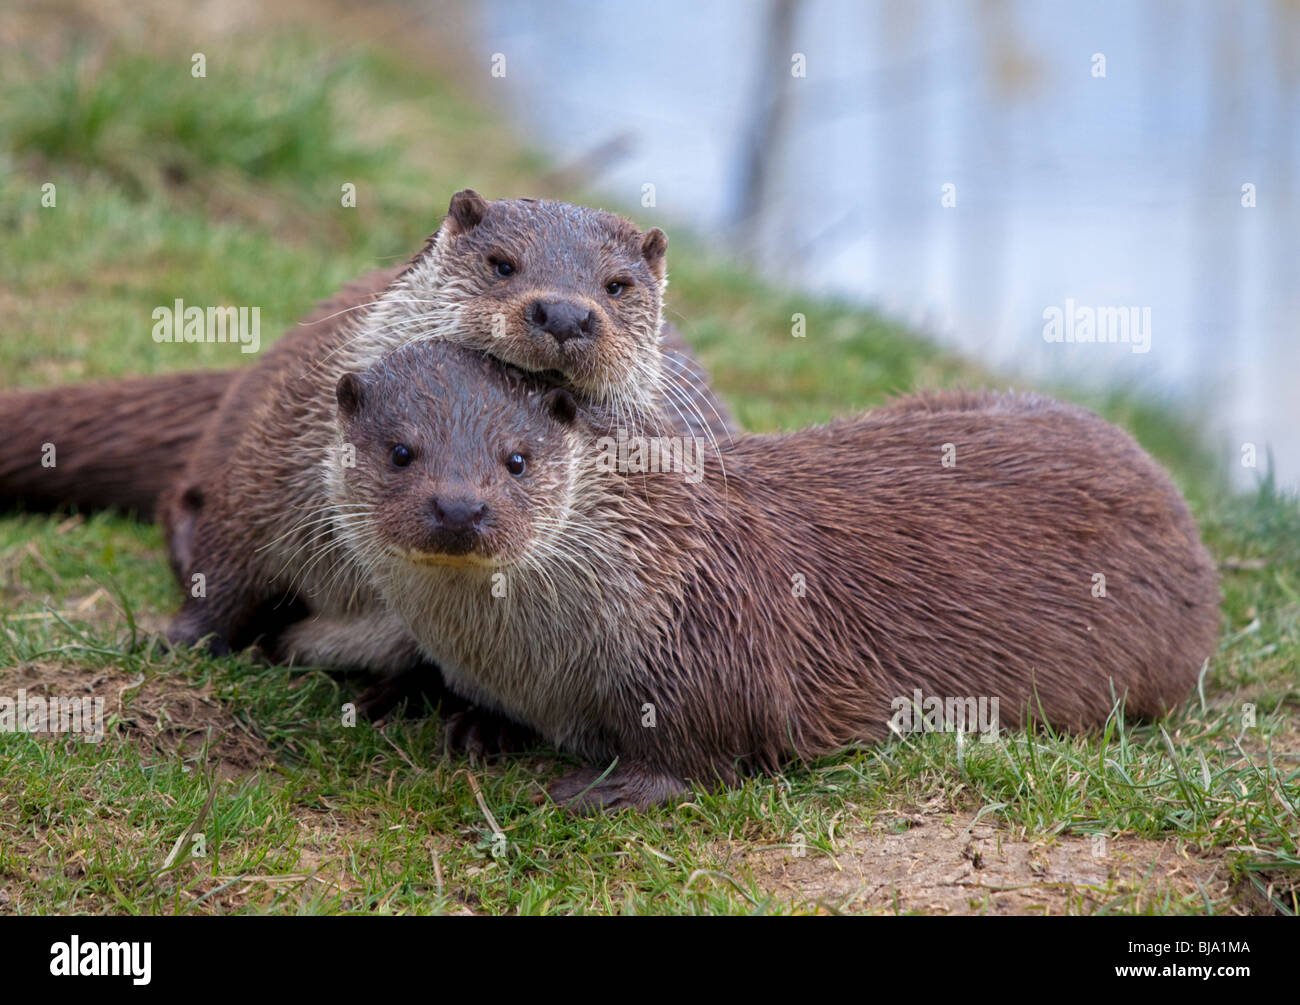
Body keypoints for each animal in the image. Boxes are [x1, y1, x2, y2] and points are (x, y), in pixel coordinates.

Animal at [332, 340, 1216, 811]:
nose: (459, 505)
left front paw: (611, 786)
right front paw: (463, 718)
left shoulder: (709, 633)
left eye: (516, 459)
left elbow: (706, 745)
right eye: (401, 451)